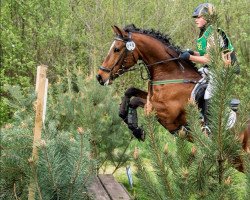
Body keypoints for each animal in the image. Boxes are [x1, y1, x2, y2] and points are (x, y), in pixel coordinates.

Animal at [95, 23, 248, 172]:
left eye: (116, 49)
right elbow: (130, 91)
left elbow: (135, 101)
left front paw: (136, 129)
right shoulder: (152, 98)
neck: (171, 75)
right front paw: (124, 115)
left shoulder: (166, 113)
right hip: (236, 160)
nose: (100, 77)